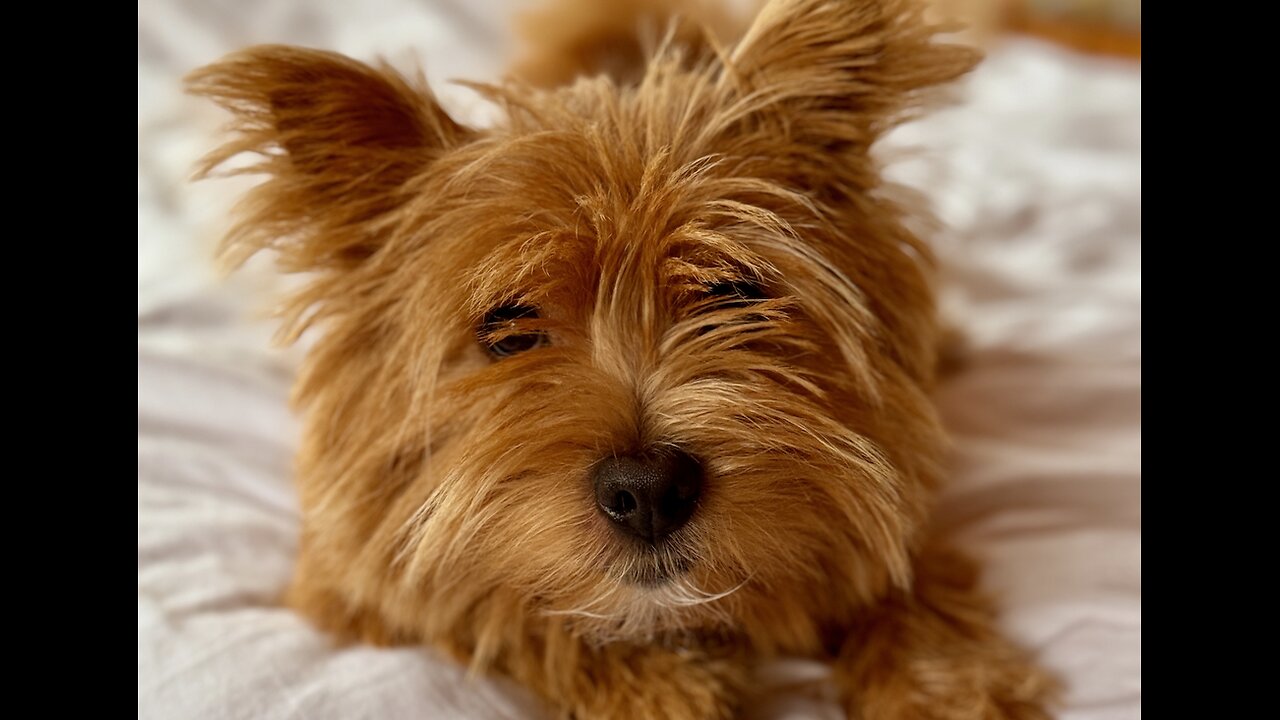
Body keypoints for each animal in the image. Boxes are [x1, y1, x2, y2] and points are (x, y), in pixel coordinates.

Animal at [185, 0, 1054, 712]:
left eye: (734, 295)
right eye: (508, 330)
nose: (650, 490)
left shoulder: (898, 499)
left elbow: (905, 582)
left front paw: (945, 685)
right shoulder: (345, 584)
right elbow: (486, 608)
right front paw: (664, 685)